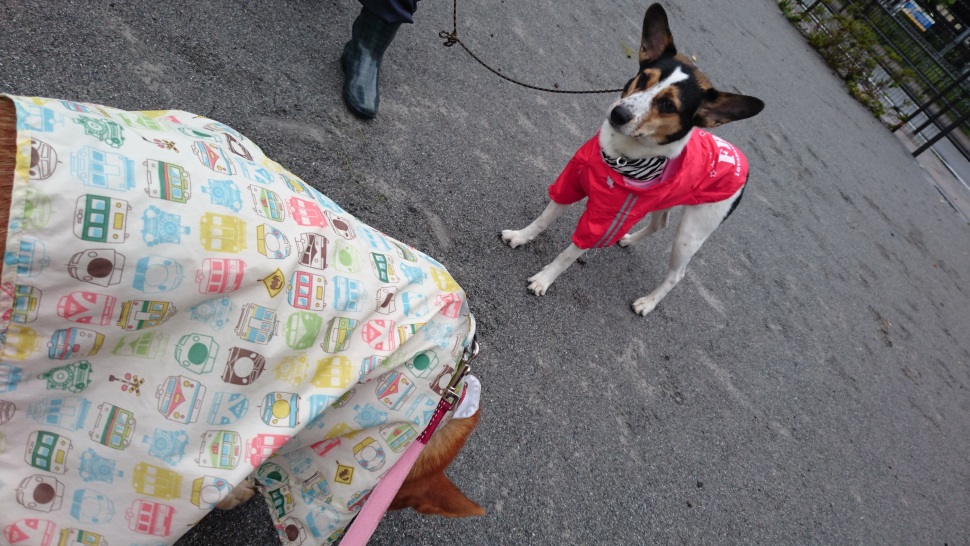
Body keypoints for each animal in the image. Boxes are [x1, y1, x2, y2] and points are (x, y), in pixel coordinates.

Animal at [502, 3, 764, 316]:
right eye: (643, 79)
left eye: (668, 104)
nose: (619, 114)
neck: (618, 159)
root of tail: (743, 164)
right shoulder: (571, 183)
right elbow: (543, 220)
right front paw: (521, 236)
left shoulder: (605, 222)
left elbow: (568, 254)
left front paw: (545, 279)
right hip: (665, 201)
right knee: (659, 225)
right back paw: (628, 239)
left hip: (691, 233)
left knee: (677, 274)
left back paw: (648, 303)